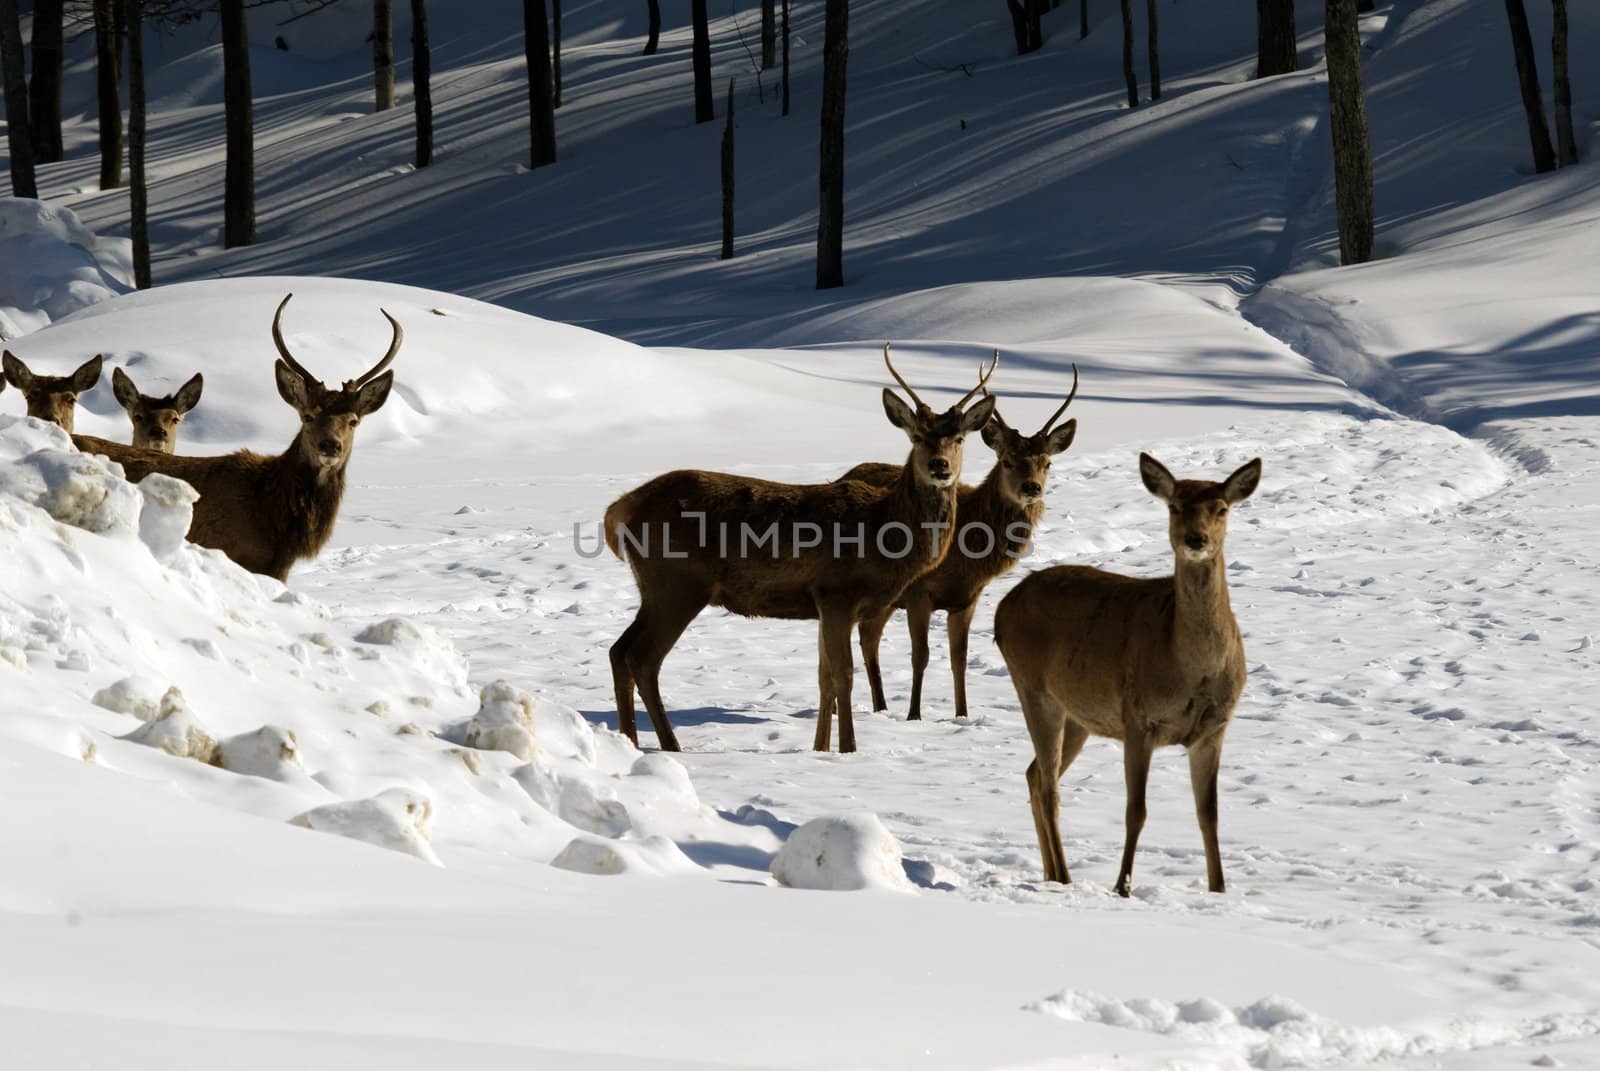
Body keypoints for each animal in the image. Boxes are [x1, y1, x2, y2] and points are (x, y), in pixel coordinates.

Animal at [601, 344, 992, 752]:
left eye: (959, 439)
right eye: (916, 436)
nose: (939, 465)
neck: (885, 534)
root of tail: (620, 508)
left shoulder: (823, 605)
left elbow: (824, 679)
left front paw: (820, 748)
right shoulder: (836, 592)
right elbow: (843, 675)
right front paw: (849, 749)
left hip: (656, 587)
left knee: (618, 651)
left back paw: (630, 740)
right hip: (677, 583)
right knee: (641, 657)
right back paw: (669, 744)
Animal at [844, 363, 1081, 723]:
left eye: (1047, 463)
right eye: (1007, 460)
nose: (1031, 487)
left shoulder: (967, 598)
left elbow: (960, 659)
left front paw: (962, 715)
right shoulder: (918, 592)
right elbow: (921, 655)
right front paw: (914, 716)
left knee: (868, 637)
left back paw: (880, 707)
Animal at [985, 451, 1260, 896]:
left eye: (1221, 508)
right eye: (1174, 506)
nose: (1196, 539)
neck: (1193, 669)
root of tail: (1002, 607)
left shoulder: (1214, 728)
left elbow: (1210, 813)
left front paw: (1219, 889)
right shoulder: (1138, 718)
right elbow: (1137, 810)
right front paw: (1122, 886)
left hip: (1078, 716)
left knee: (1032, 773)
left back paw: (1051, 873)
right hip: (1032, 687)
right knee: (1047, 784)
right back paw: (1064, 875)